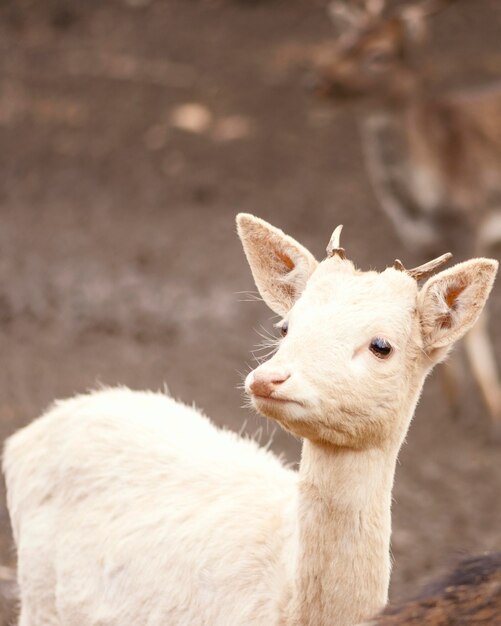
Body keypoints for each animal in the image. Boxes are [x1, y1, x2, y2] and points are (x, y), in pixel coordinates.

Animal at [312, 0, 500, 426]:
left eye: (379, 55)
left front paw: (493, 409)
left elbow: (474, 322)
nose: (321, 84)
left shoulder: (472, 226)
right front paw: (450, 401)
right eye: (342, 40)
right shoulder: (414, 236)